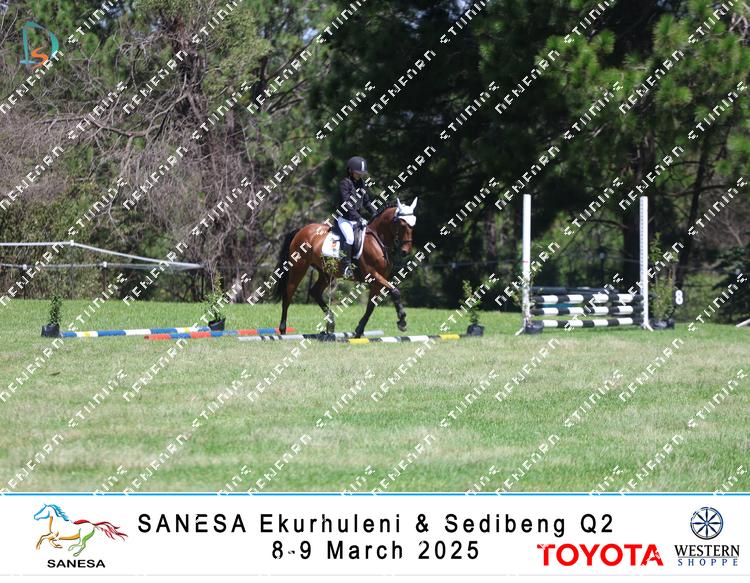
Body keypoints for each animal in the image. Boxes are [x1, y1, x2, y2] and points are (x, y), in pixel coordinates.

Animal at [273, 198, 418, 338]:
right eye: (402, 224)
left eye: (413, 225)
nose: (405, 251)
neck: (377, 241)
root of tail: (301, 230)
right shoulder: (372, 275)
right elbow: (395, 291)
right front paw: (402, 321)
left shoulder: (378, 280)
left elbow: (371, 306)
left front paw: (359, 330)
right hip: (299, 268)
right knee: (288, 295)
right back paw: (283, 330)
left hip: (326, 273)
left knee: (315, 292)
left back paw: (330, 323)